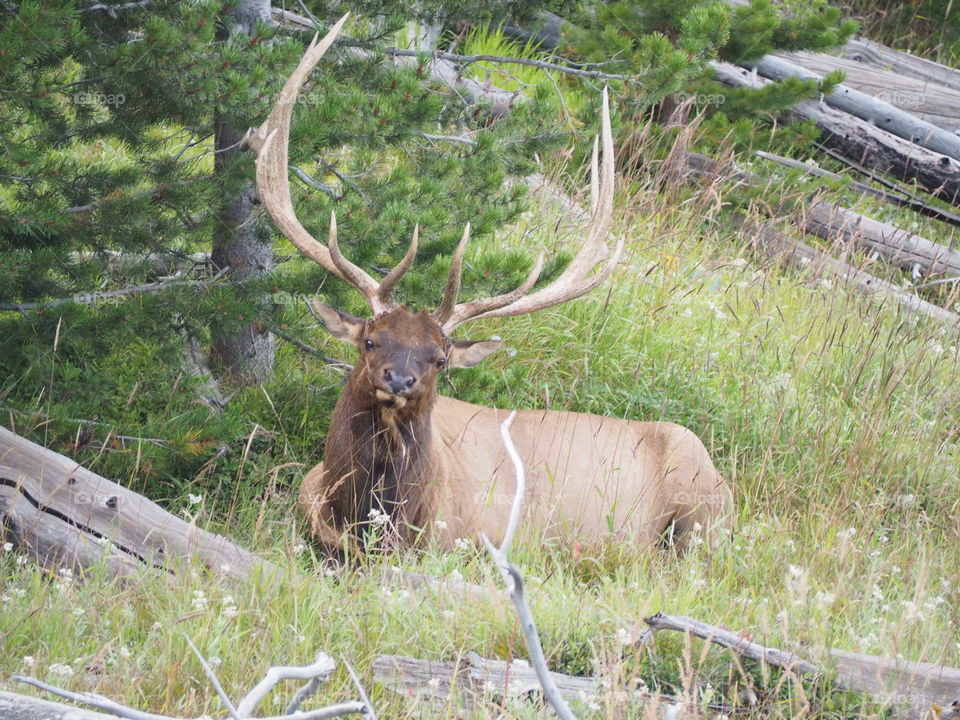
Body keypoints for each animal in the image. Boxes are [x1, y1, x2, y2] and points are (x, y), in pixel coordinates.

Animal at [244, 18, 732, 556]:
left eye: (440, 358)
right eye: (371, 339)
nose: (399, 379)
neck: (366, 519)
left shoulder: (475, 540)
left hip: (702, 505)